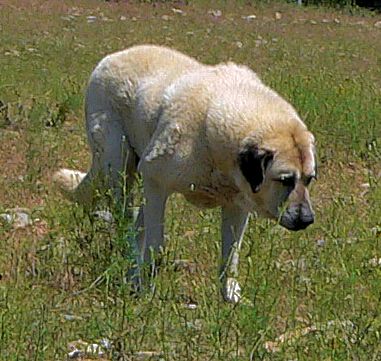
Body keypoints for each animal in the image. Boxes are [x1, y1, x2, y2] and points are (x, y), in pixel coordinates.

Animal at [52, 45, 314, 302]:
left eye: (309, 179)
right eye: (285, 180)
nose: (307, 220)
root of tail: (110, 57)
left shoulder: (237, 205)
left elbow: (230, 256)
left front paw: (230, 298)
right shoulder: (155, 181)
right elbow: (156, 246)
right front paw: (146, 292)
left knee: (137, 225)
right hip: (118, 166)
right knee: (126, 224)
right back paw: (133, 275)